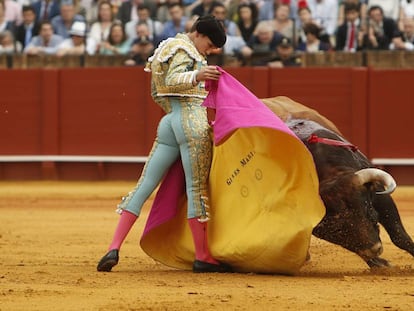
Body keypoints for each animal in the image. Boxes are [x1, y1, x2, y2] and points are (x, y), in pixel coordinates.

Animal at [262, 96, 414, 270]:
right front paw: (380, 264)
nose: (375, 250)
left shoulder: (379, 194)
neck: (330, 174)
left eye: (367, 211)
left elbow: (399, 235)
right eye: (338, 231)